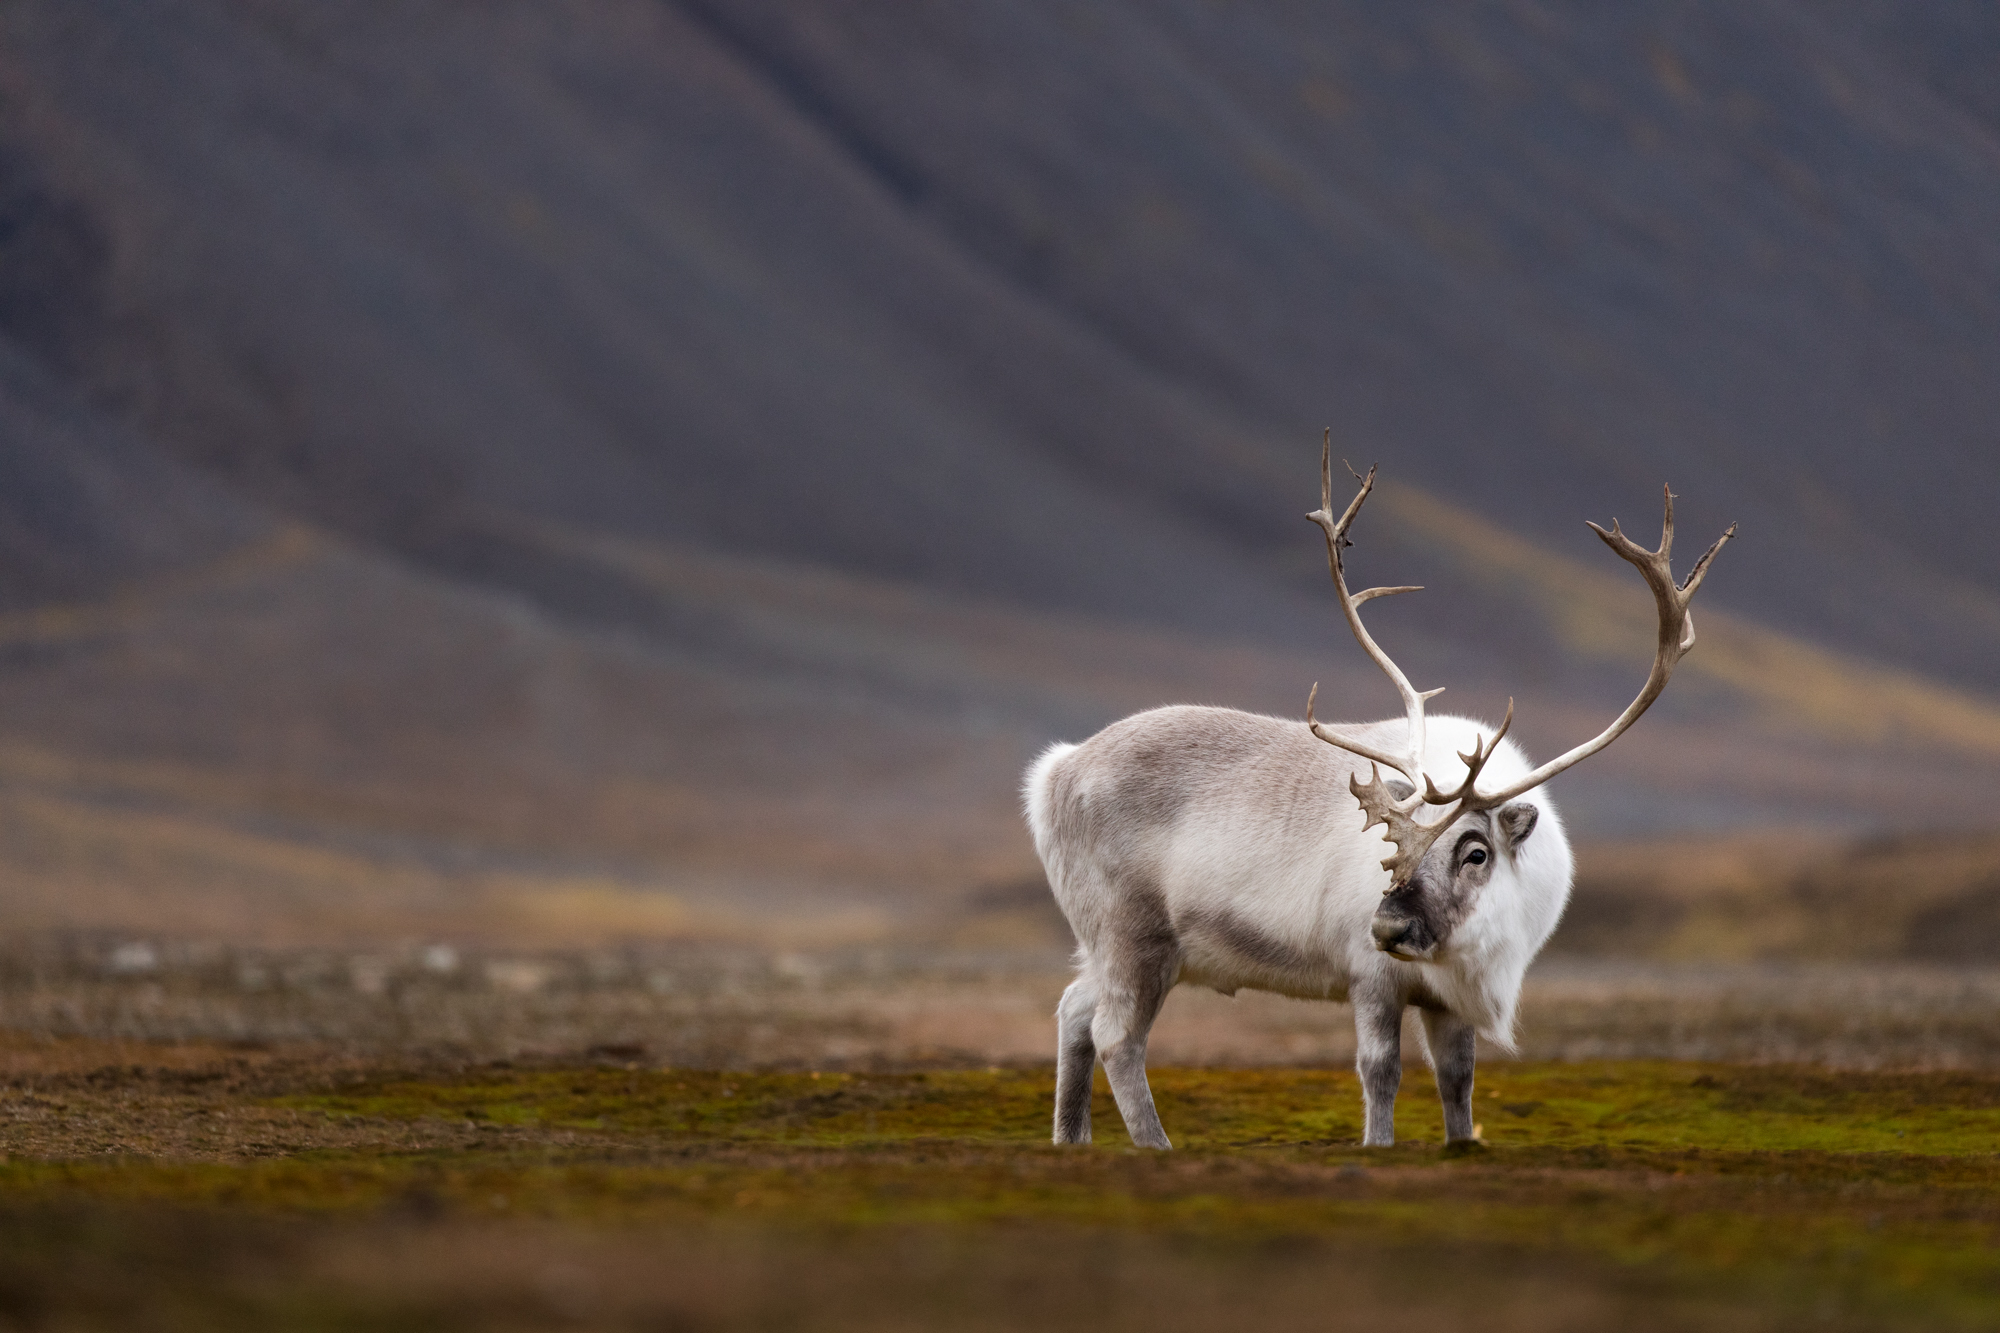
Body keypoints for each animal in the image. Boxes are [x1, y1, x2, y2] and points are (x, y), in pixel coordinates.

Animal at [1023, 438, 1733, 1148]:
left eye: (1476, 852)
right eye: (1390, 839)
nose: (1387, 923)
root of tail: (1055, 771)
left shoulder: (1449, 1001)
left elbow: (1457, 1081)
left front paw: (1460, 1145)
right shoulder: (1370, 979)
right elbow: (1380, 1070)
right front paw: (1378, 1146)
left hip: (1113, 947)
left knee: (1073, 1009)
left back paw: (1070, 1141)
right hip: (1133, 938)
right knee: (1115, 1035)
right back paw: (1154, 1146)